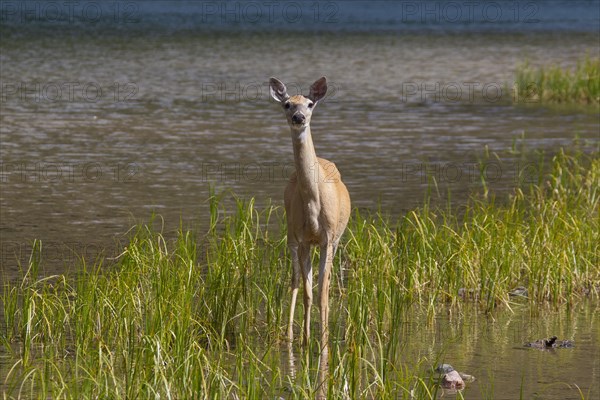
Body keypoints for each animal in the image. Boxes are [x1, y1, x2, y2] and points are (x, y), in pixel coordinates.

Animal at [268, 77, 350, 372]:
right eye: (287, 104)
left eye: (310, 103)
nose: (299, 117)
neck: (314, 203)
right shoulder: (302, 238)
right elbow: (306, 292)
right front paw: (305, 341)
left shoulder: (328, 238)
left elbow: (323, 292)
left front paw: (324, 344)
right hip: (291, 236)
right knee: (294, 279)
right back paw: (290, 335)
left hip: (334, 241)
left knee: (322, 282)